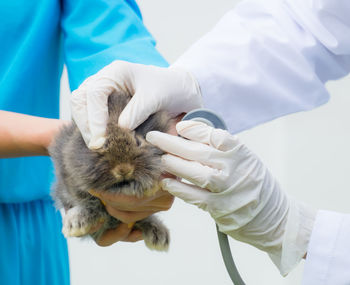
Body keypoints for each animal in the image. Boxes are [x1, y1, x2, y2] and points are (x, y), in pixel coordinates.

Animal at [48, 89, 172, 251]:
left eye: (138, 141)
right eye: (102, 144)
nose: (123, 169)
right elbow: (90, 204)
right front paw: (75, 224)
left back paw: (158, 236)